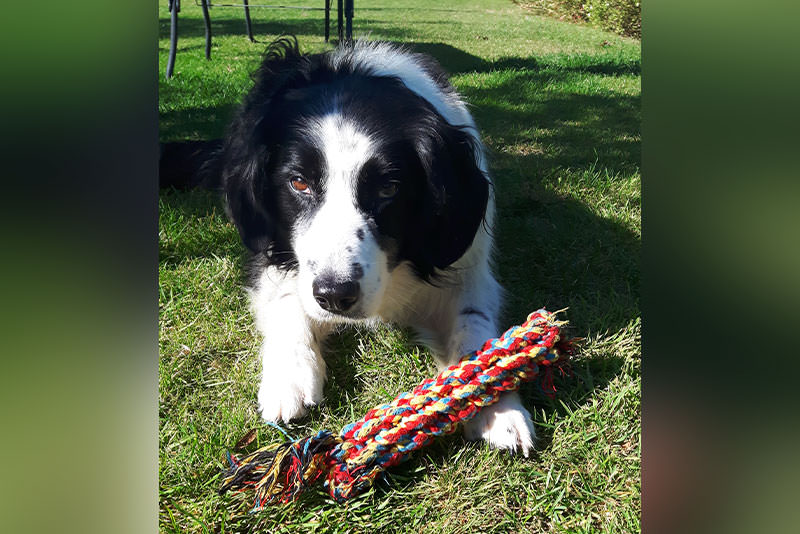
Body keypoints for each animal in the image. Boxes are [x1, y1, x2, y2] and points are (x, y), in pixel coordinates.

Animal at [217, 37, 536, 456]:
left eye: (388, 188)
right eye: (299, 182)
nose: (335, 295)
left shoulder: (468, 265)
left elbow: (474, 324)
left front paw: (496, 400)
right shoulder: (269, 251)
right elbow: (287, 301)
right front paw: (290, 376)